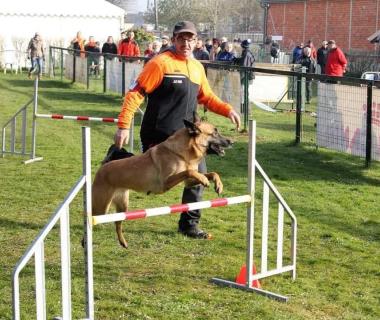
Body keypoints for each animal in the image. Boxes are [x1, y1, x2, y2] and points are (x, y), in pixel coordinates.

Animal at [93, 117, 235, 248]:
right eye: (214, 133)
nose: (232, 142)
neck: (180, 152)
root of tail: (102, 168)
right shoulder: (165, 183)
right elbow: (189, 171)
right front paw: (205, 180)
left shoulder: (188, 183)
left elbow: (211, 173)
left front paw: (218, 184)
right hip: (102, 208)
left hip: (123, 205)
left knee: (117, 223)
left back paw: (123, 242)